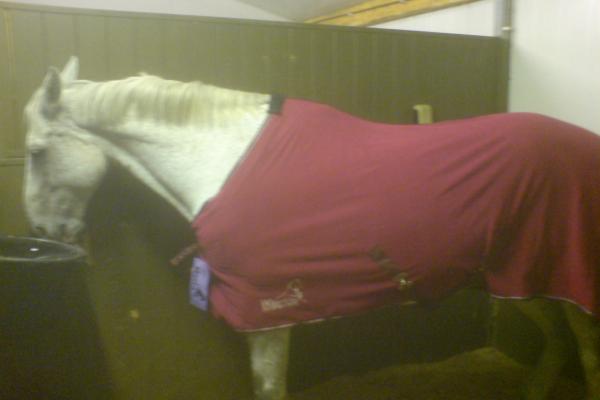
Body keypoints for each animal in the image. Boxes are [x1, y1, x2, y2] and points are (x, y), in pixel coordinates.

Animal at [22, 57, 599, 400]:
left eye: (35, 152)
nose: (44, 230)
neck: (226, 160)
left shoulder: (268, 314)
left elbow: (268, 388)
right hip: (524, 277)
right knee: (559, 342)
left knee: (587, 349)